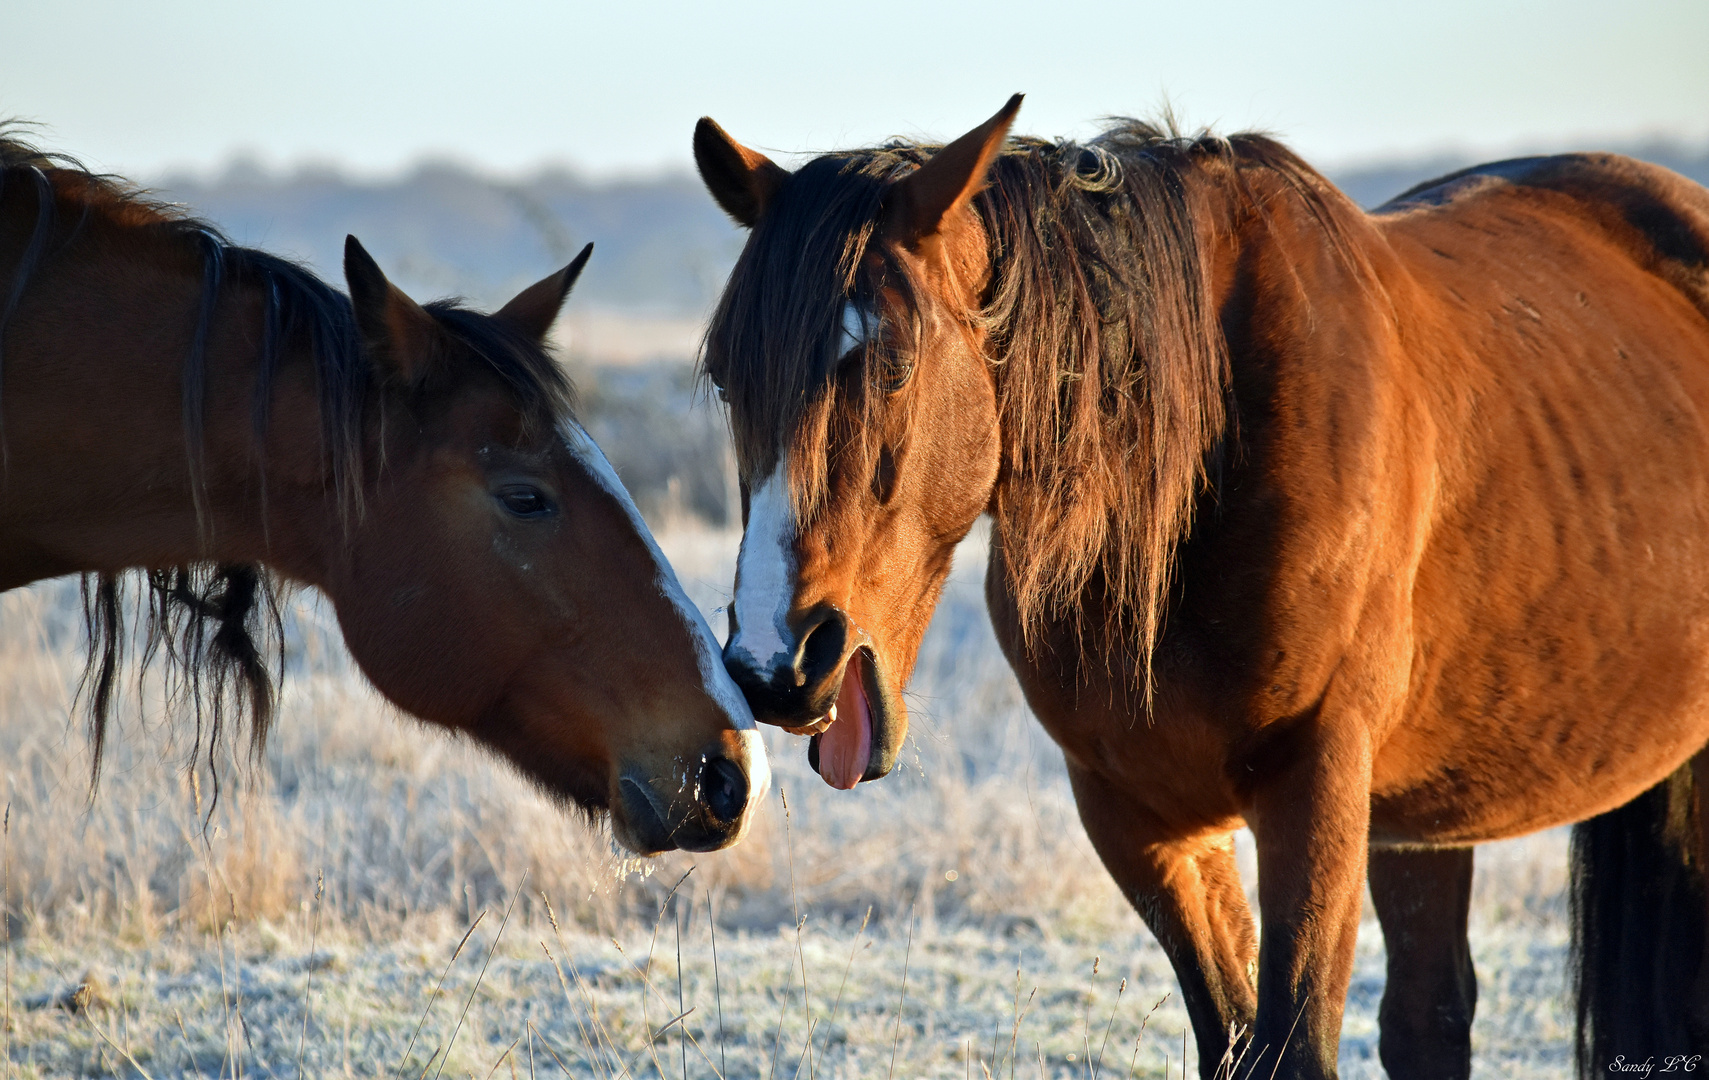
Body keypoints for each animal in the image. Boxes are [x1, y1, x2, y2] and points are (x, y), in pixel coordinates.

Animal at [687, 96, 1709, 1073]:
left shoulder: (1313, 790)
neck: (1198, 456)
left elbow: (1293, 1045)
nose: (778, 664)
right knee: (1430, 1018)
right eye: (730, 382)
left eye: (893, 364)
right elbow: (1233, 1036)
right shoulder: (1139, 817)